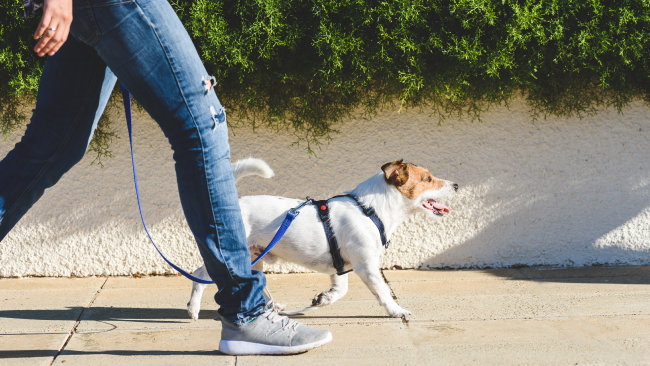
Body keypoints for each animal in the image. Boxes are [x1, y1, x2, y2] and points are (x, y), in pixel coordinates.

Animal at [185, 157, 454, 318]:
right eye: (428, 179)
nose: (457, 185)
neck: (370, 209)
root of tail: (235, 204)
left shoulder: (341, 266)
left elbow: (340, 290)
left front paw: (324, 299)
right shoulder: (366, 266)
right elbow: (383, 292)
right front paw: (396, 310)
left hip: (254, 257)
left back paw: (274, 307)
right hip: (232, 256)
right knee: (199, 275)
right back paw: (193, 309)